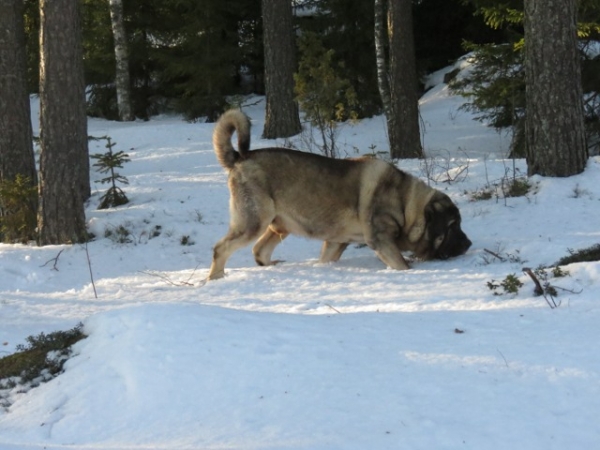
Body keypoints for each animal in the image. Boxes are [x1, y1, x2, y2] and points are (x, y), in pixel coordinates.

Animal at [209, 110, 472, 278]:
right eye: (453, 225)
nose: (469, 244)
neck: (405, 203)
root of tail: (240, 158)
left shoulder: (336, 243)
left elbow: (325, 258)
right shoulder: (381, 241)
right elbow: (402, 266)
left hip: (279, 226)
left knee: (259, 251)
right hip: (254, 222)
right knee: (221, 248)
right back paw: (216, 278)